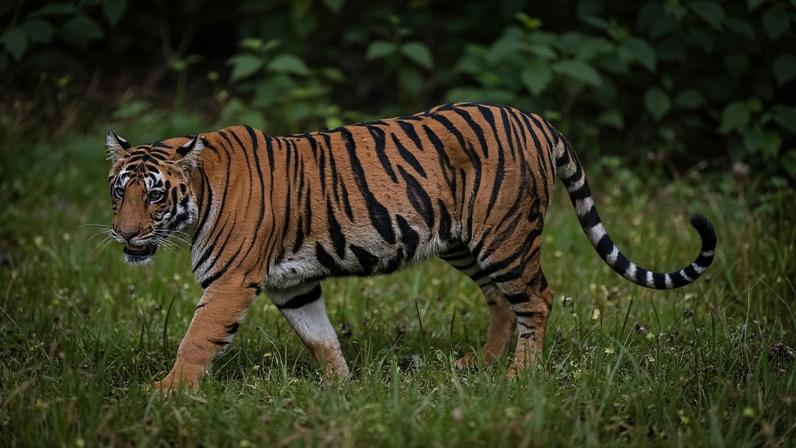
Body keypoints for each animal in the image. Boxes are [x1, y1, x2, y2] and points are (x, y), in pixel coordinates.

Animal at [105, 102, 716, 390]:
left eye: (155, 196)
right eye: (119, 192)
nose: (126, 234)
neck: (200, 195)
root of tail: (533, 117)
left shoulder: (230, 281)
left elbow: (197, 339)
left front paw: (166, 391)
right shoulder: (291, 284)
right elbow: (320, 336)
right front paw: (342, 387)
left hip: (506, 238)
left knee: (537, 299)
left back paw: (520, 375)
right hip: (466, 244)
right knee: (502, 301)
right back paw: (482, 364)